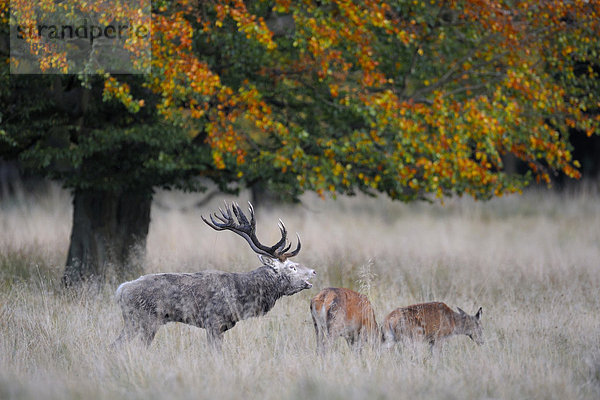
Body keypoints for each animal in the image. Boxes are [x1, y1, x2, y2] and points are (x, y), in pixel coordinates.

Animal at [114, 202, 316, 348]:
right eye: (292, 267)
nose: (313, 271)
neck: (241, 298)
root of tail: (121, 290)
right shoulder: (214, 322)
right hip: (143, 319)